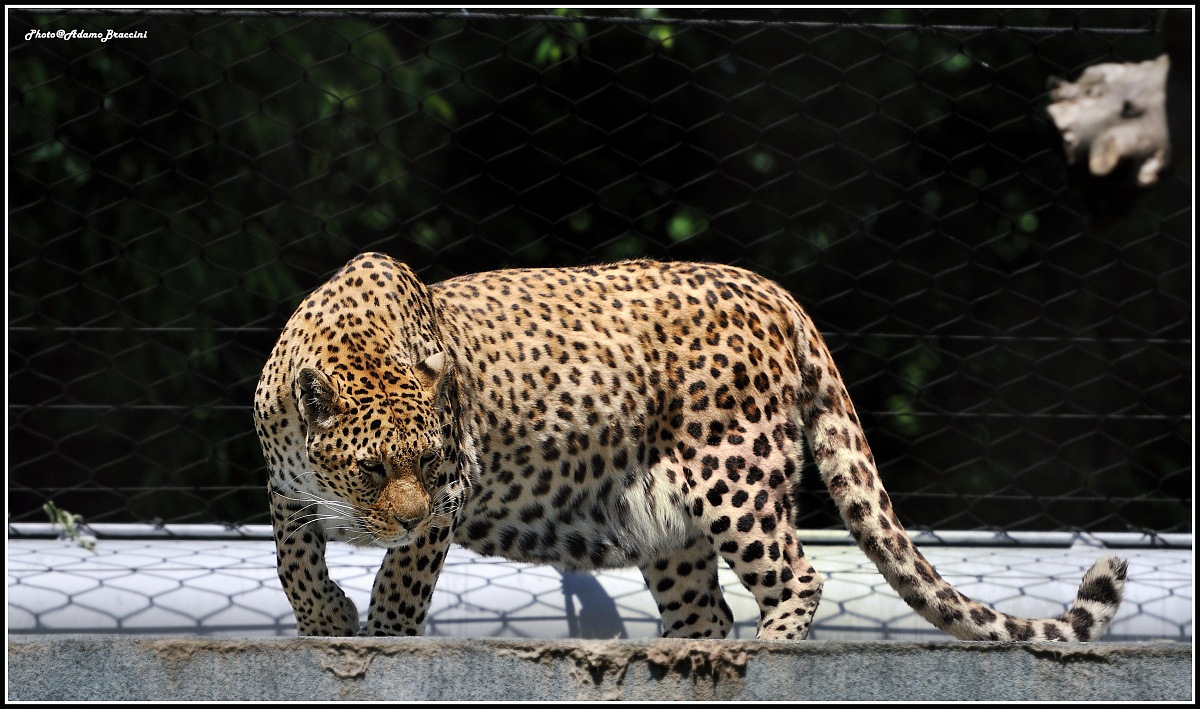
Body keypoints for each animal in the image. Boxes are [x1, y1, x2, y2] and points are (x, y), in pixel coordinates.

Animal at [253, 251, 1127, 641]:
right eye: (371, 467)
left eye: (431, 464)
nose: (399, 517)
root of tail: (780, 293)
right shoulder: (287, 489)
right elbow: (292, 558)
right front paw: (325, 613)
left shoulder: (449, 498)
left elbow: (405, 576)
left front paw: (383, 634)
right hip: (664, 520)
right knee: (707, 611)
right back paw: (679, 658)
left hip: (733, 477)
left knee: (796, 575)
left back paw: (775, 648)